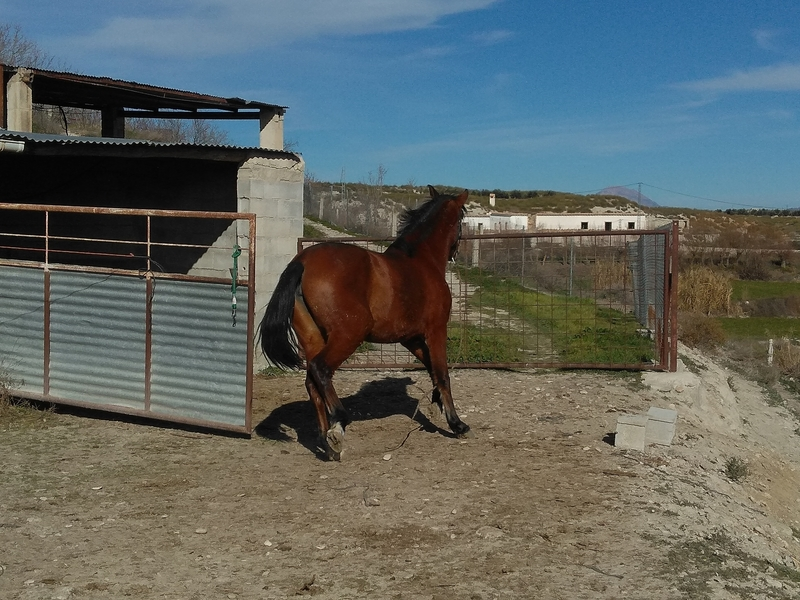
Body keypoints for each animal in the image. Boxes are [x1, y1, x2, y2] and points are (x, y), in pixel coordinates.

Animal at [259, 185, 472, 460]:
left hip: (313, 337)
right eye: (461, 220)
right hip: (349, 334)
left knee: (312, 382)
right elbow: (442, 372)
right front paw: (457, 424)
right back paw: (339, 424)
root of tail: (302, 261)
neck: (421, 262)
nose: (457, 251)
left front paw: (438, 403)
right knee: (320, 369)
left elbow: (431, 367)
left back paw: (327, 443)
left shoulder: (410, 338)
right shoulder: (435, 330)